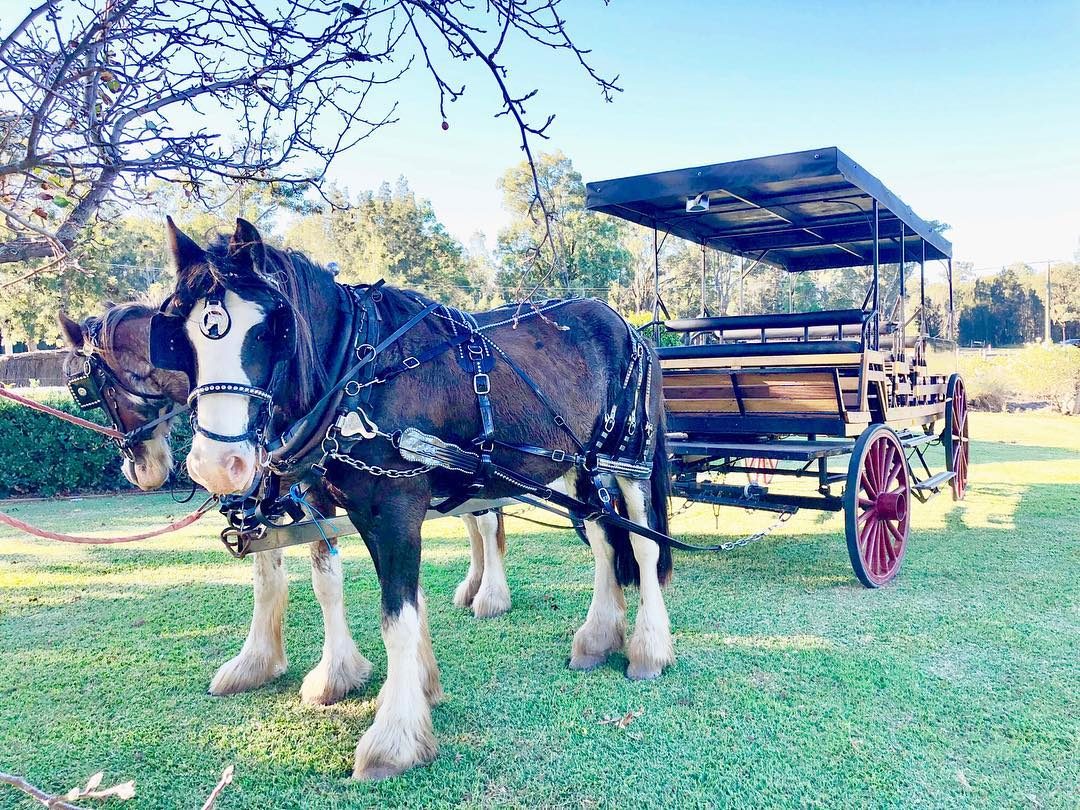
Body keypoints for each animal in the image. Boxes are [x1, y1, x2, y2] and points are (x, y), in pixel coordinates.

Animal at [58, 304, 512, 707]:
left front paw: (335, 676)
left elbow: (328, 581)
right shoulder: (276, 499)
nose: (140, 469)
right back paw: (473, 587)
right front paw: (256, 662)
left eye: (87, 389)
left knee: (486, 523)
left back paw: (490, 595)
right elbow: (273, 576)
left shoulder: (324, 494)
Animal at [157, 217, 674, 780]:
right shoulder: (332, 501)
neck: (359, 374)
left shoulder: (397, 507)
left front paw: (395, 738)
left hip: (628, 461)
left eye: (272, 328)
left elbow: (396, 615)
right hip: (580, 467)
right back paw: (597, 638)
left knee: (644, 547)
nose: (215, 464)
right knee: (603, 540)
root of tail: (628, 327)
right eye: (181, 334)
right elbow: (338, 585)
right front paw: (366, 680)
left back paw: (649, 649)